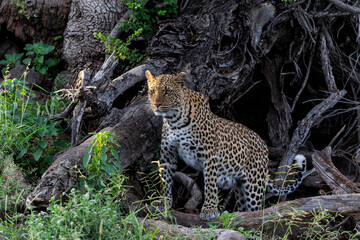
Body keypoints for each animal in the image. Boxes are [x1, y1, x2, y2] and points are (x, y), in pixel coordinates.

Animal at [146, 70, 306, 220]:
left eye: (167, 91)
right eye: (152, 91)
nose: (156, 105)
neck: (174, 120)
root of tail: (264, 146)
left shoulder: (209, 156)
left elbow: (210, 184)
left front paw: (209, 210)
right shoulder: (168, 153)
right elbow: (165, 178)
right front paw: (164, 202)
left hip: (253, 186)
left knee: (256, 209)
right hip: (240, 189)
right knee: (244, 209)